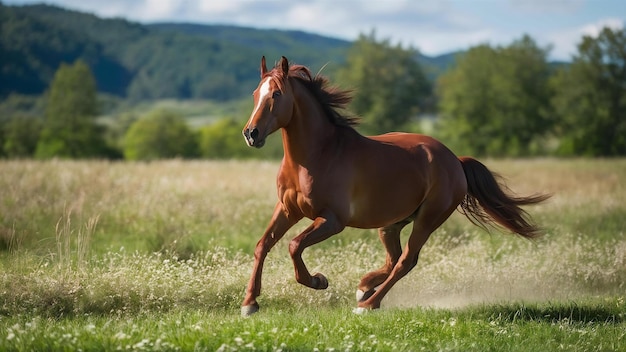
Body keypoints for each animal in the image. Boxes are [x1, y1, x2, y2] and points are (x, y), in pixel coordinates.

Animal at [239, 55, 544, 316]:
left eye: (276, 94)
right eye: (255, 94)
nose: (251, 134)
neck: (316, 156)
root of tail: (455, 160)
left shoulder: (332, 220)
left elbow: (294, 245)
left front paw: (318, 281)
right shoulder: (288, 209)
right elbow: (263, 245)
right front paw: (249, 304)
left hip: (427, 220)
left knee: (406, 261)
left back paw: (368, 304)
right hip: (391, 224)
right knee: (394, 258)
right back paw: (364, 288)